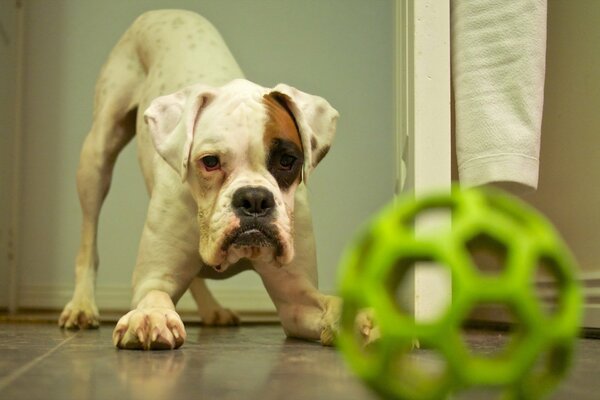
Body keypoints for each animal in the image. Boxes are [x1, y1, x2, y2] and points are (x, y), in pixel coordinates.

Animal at [57, 7, 376, 348]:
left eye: (287, 160)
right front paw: (152, 316)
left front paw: (360, 322)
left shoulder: (296, 299)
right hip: (96, 159)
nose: (254, 199)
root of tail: (165, 10)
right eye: (210, 162)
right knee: (88, 240)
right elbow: (154, 296)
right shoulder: (153, 279)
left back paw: (213, 309)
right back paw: (81, 305)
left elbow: (329, 302)